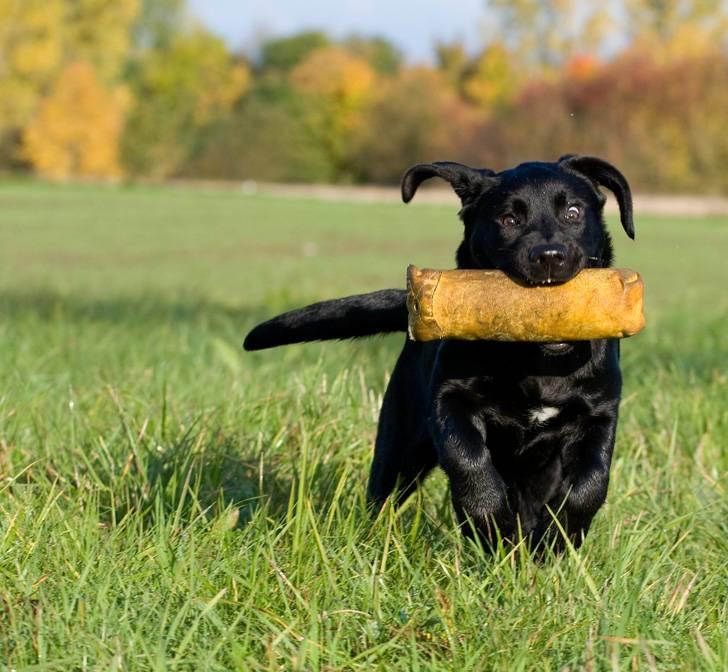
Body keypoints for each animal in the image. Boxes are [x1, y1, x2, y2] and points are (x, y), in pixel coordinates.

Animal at [245, 158, 632, 552]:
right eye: (508, 219)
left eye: (573, 212)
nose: (550, 256)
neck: (536, 363)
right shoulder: (451, 401)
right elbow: (469, 462)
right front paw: (491, 525)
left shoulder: (598, 414)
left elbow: (590, 483)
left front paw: (557, 539)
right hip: (401, 442)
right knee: (383, 492)